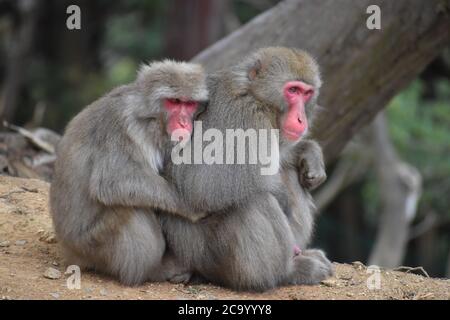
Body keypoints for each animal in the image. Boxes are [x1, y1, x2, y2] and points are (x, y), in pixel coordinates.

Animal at [50, 60, 208, 284]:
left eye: (189, 104)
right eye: (175, 101)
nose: (184, 123)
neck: (150, 118)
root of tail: (70, 251)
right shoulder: (122, 127)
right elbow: (113, 181)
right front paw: (189, 206)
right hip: (94, 245)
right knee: (130, 209)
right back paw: (153, 270)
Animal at [163, 48, 332, 292]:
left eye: (307, 93)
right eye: (293, 90)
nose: (302, 119)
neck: (257, 97)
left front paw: (311, 154)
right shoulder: (246, 118)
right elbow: (200, 185)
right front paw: (281, 196)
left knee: (289, 174)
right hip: (201, 252)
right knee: (256, 201)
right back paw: (288, 272)